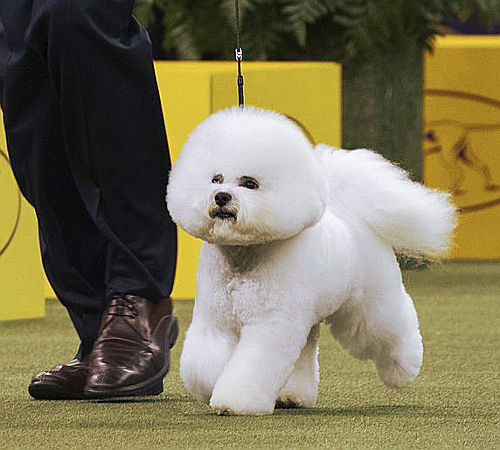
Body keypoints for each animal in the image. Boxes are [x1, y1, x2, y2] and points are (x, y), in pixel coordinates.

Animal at [167, 105, 458, 414]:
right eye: (216, 179)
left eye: (250, 183)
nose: (221, 197)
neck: (243, 260)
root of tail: (352, 213)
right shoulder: (215, 320)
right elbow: (203, 364)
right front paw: (211, 386)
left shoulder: (271, 324)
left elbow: (252, 367)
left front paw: (234, 402)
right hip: (308, 319)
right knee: (305, 352)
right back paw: (291, 395)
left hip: (370, 304)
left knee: (390, 330)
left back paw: (402, 370)